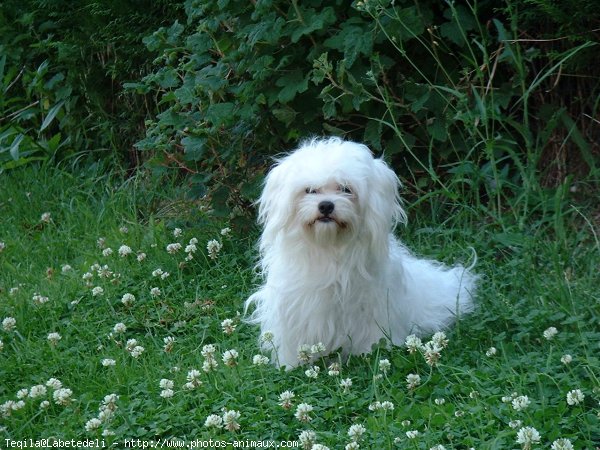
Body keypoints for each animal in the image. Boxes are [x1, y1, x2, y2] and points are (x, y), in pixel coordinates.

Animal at [245, 138, 478, 370]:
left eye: (345, 189)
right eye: (310, 190)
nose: (326, 205)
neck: (329, 247)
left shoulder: (372, 305)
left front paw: (372, 352)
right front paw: (292, 362)